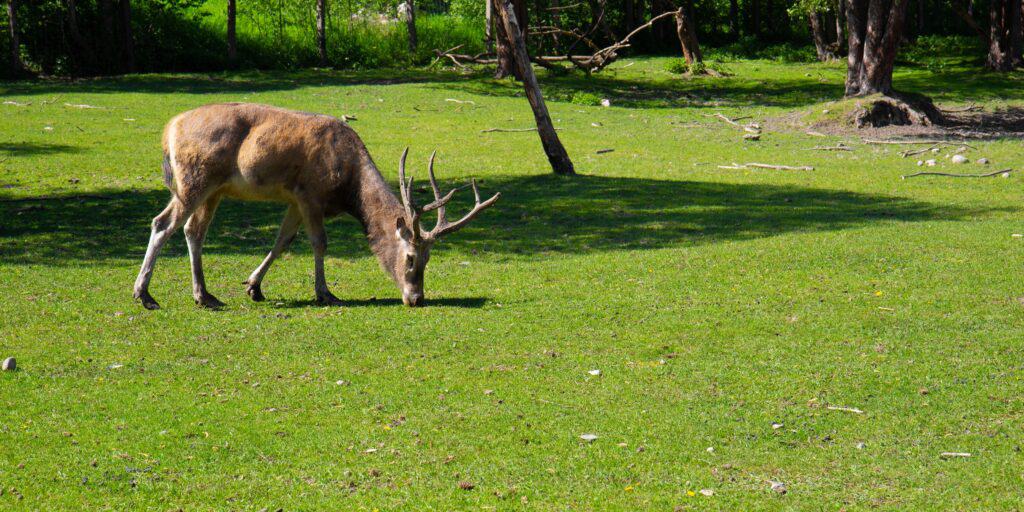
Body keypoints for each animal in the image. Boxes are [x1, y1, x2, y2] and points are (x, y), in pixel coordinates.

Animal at [132, 101, 499, 307]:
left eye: (429, 258)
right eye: (410, 257)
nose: (417, 298)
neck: (348, 186)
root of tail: (170, 128)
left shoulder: (294, 199)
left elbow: (283, 241)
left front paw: (254, 287)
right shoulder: (310, 193)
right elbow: (319, 243)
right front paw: (325, 293)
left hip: (214, 189)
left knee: (194, 231)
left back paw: (204, 296)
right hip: (194, 180)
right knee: (162, 223)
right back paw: (145, 295)